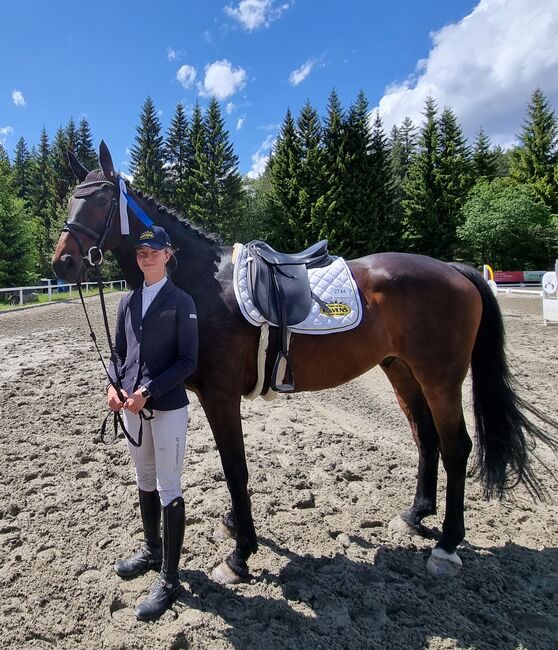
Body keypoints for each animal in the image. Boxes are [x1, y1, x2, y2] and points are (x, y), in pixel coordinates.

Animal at [53, 142, 558, 584]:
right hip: (402, 370)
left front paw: (240, 554)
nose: (62, 264)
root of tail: (453, 269)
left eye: (100, 201)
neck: (201, 284)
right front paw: (235, 527)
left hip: (441, 378)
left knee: (456, 448)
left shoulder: (220, 396)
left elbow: (236, 468)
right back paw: (416, 514)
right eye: (71, 199)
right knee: (426, 438)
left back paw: (447, 545)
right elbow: (231, 467)